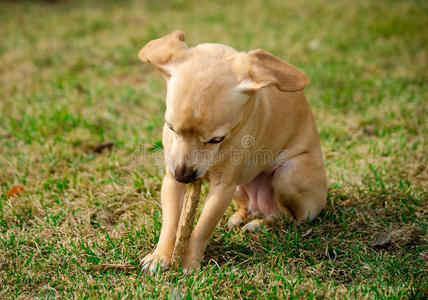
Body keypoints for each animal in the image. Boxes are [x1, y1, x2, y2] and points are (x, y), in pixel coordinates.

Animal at [139, 31, 326, 274]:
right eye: (171, 128)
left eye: (216, 139)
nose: (184, 176)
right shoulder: (171, 179)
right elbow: (170, 222)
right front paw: (160, 256)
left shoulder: (222, 187)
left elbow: (203, 227)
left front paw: (189, 262)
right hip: (240, 189)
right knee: (251, 207)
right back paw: (240, 217)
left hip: (288, 174)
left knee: (287, 217)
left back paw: (259, 224)